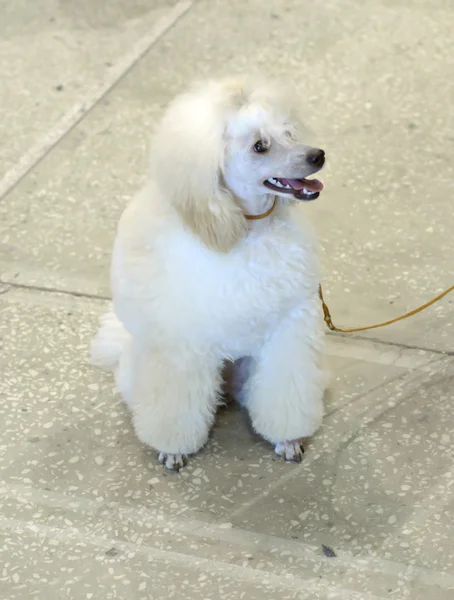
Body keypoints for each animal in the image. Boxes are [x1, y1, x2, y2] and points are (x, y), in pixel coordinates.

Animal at [91, 76, 326, 468]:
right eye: (260, 146)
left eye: (290, 132)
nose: (318, 155)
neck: (241, 229)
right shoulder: (181, 344)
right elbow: (176, 404)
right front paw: (173, 449)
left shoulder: (288, 329)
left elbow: (285, 390)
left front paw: (288, 439)